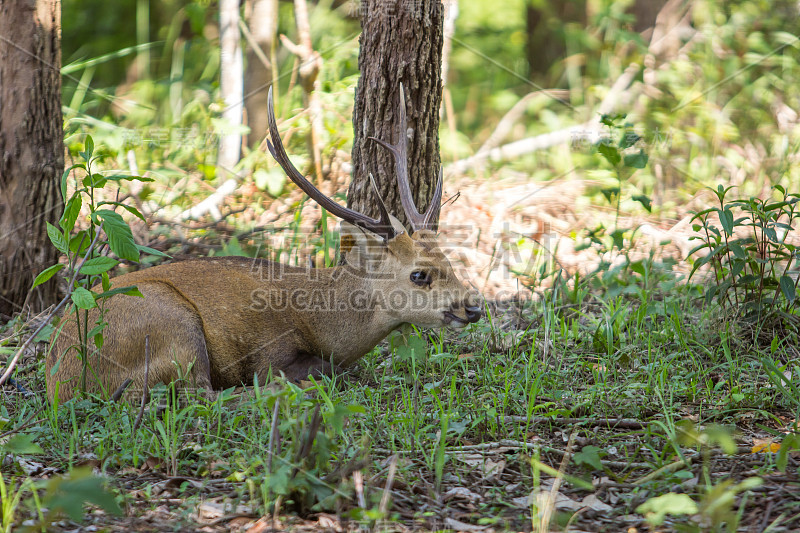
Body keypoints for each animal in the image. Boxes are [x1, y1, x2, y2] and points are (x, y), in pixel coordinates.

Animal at [45, 87, 482, 402]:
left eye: (451, 262)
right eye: (419, 275)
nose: (474, 305)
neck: (325, 326)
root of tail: (61, 383)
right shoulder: (269, 351)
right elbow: (320, 372)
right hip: (171, 325)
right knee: (198, 397)